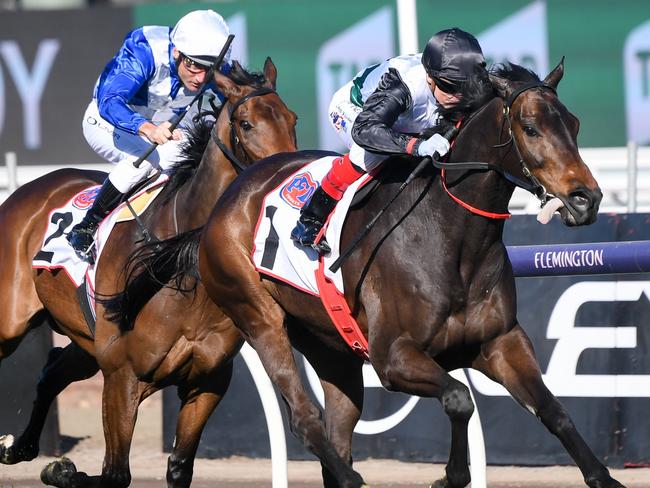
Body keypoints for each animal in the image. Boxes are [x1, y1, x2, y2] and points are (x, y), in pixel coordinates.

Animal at [0, 60, 296, 488]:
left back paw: (18, 448)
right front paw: (65, 470)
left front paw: (59, 468)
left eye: (292, 118)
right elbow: (114, 473)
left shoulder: (206, 382)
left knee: (52, 372)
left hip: (85, 342)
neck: (178, 262)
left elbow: (179, 467)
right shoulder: (122, 378)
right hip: (12, 325)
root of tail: (28, 190)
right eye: (246, 123)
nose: (286, 171)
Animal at [134, 61, 624, 488]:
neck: (453, 238)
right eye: (530, 127)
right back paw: (352, 478)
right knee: (304, 419)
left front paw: (604, 477)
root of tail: (225, 201)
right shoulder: (394, 356)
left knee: (337, 426)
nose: (586, 199)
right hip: (259, 318)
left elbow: (553, 410)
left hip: (330, 345)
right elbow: (459, 400)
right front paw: (450, 476)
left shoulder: (500, 343)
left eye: (574, 124)